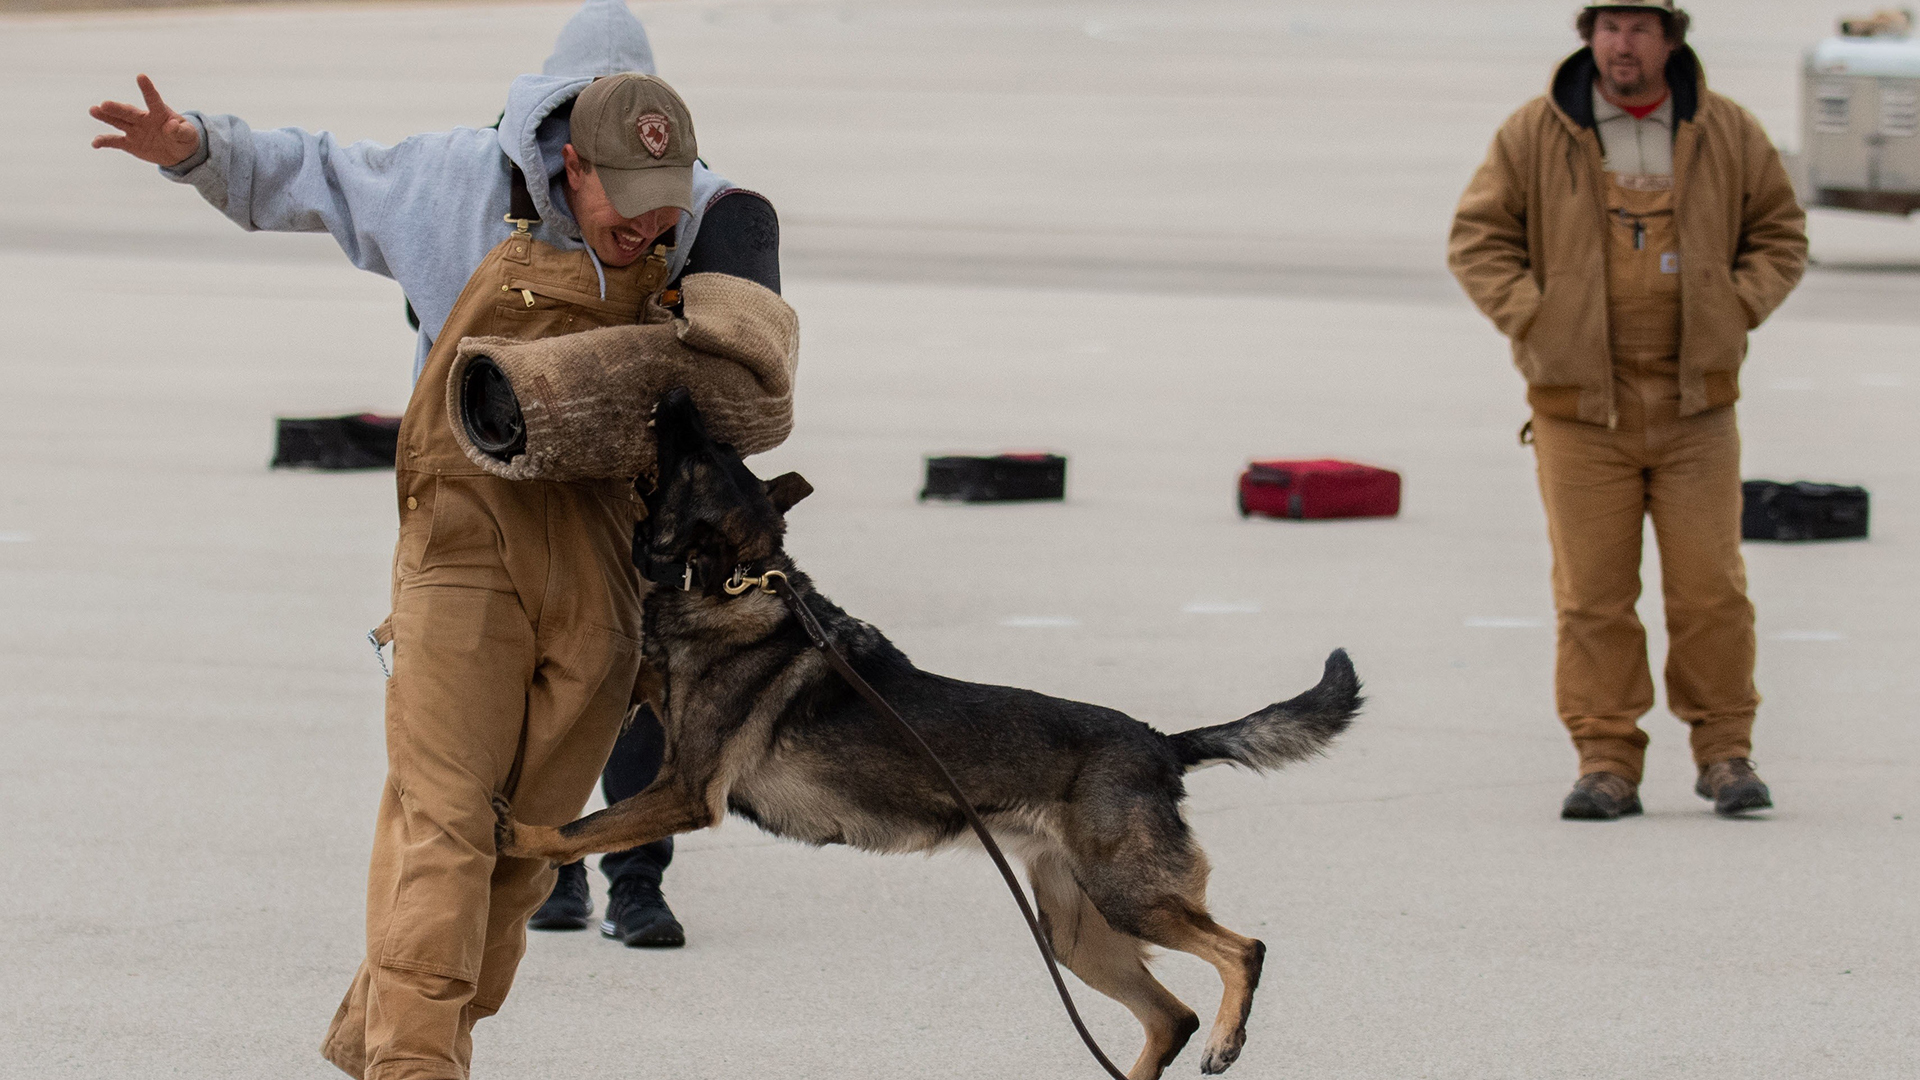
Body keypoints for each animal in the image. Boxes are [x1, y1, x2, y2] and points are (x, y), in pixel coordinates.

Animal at [495, 390, 1367, 1068]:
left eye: (698, 452)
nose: (676, 394)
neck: (735, 584)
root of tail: (1161, 743)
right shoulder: (656, 709)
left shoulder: (683, 790)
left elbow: (580, 826)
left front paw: (520, 835)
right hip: (1075, 932)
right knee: (1168, 1015)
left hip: (1129, 899)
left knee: (1242, 951)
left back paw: (1227, 1039)